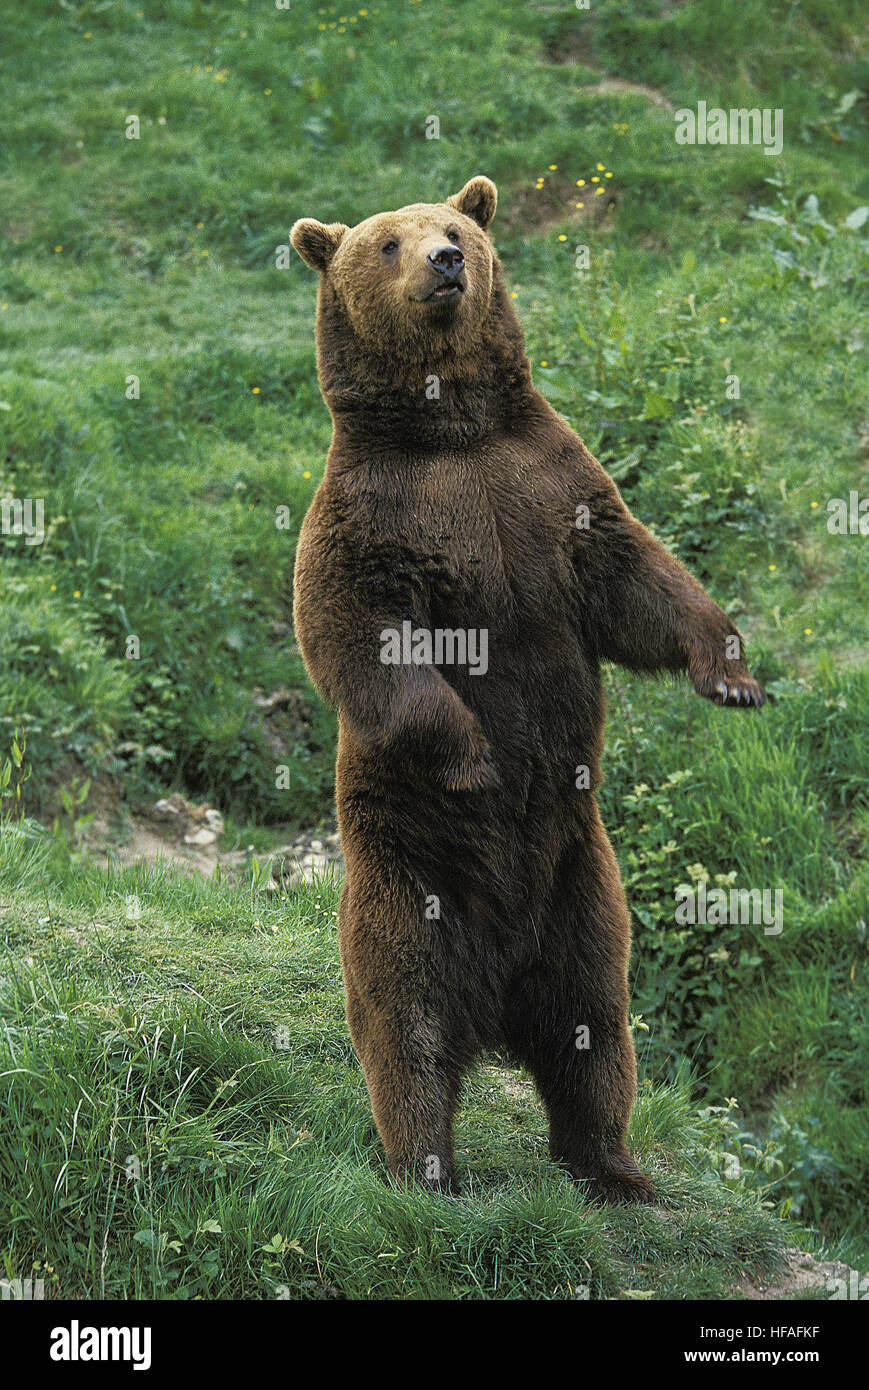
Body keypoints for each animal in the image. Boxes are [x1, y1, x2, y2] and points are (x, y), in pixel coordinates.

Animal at [290, 176, 765, 1202]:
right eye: (385, 243)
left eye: (456, 228)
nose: (444, 262)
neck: (455, 430)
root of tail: (496, 992)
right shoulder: (372, 515)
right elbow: (361, 635)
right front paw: (475, 756)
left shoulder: (551, 487)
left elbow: (637, 579)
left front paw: (733, 676)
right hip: (408, 879)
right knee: (407, 1028)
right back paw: (426, 1169)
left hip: (583, 888)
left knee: (593, 1031)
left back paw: (616, 1169)